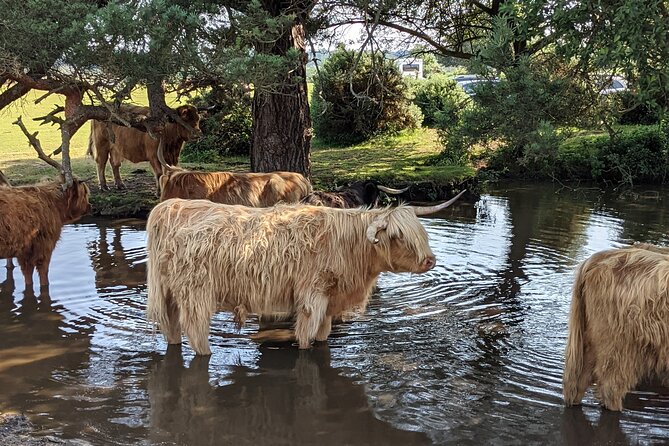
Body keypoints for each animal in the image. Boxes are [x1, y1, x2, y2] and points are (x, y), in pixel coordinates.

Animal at [144, 191, 462, 356]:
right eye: (397, 236)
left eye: (421, 233)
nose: (430, 261)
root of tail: (170, 206)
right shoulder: (313, 296)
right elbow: (307, 339)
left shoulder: (330, 302)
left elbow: (322, 336)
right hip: (195, 294)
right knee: (196, 334)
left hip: (169, 294)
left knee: (172, 329)